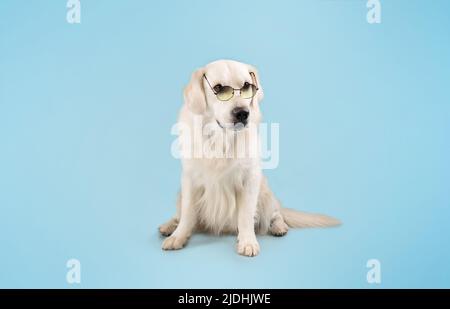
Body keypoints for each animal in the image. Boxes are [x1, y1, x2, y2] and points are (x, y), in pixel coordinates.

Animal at [160, 59, 340, 255]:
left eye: (247, 86)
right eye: (219, 88)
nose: (242, 113)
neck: (222, 139)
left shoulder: (250, 178)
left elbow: (245, 215)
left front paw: (247, 241)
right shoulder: (190, 178)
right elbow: (187, 213)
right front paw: (178, 236)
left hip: (265, 192)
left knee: (276, 213)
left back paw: (279, 227)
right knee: (180, 213)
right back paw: (169, 226)